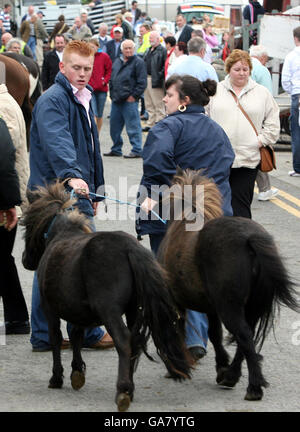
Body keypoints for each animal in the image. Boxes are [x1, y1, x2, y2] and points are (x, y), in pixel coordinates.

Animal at [21, 182, 191, 412]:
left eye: (27, 223)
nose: (25, 260)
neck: (61, 235)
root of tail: (129, 248)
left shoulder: (50, 308)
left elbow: (56, 338)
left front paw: (57, 377)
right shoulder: (78, 311)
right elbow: (76, 335)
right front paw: (77, 371)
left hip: (109, 311)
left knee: (124, 340)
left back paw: (123, 389)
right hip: (133, 310)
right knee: (134, 342)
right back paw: (130, 389)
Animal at [158, 168, 298, 402]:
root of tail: (250, 238)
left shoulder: (179, 304)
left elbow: (185, 332)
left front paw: (177, 366)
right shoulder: (211, 307)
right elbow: (215, 334)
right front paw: (222, 366)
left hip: (230, 308)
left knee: (244, 337)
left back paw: (253, 387)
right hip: (247, 307)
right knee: (246, 338)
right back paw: (232, 376)